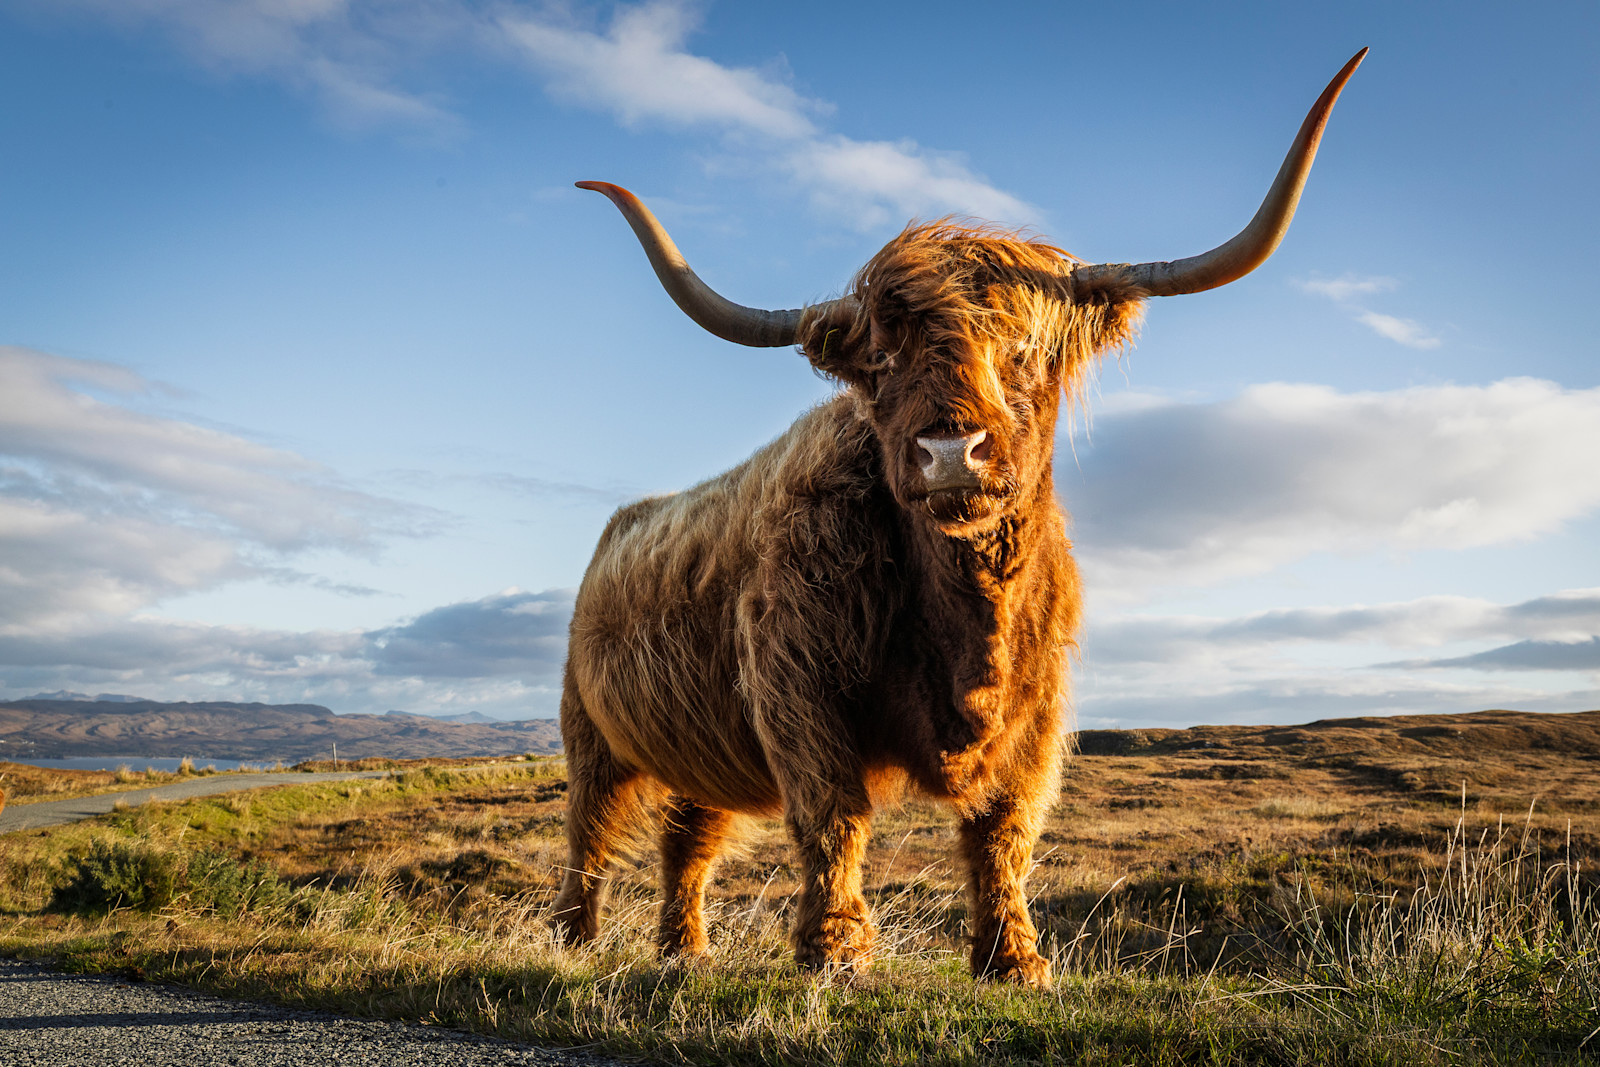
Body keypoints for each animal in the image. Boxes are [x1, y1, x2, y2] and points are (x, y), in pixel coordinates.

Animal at [552, 50, 1366, 987]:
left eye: (1026, 348)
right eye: (881, 357)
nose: (951, 451)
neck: (965, 619)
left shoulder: (1036, 710)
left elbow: (1002, 831)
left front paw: (1013, 958)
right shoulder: (797, 688)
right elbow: (833, 815)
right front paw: (836, 952)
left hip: (702, 744)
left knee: (689, 836)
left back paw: (682, 948)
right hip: (590, 732)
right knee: (590, 833)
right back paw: (575, 939)